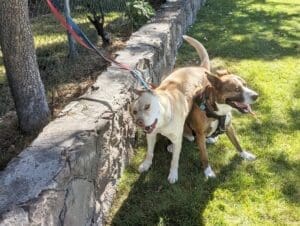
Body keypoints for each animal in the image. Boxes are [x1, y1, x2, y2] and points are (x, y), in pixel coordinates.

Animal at [130, 35, 210, 184]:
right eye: (134, 112)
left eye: (147, 106)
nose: (139, 122)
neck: (164, 121)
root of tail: (200, 68)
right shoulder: (150, 135)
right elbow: (149, 152)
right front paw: (146, 164)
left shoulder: (175, 139)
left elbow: (174, 160)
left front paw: (173, 174)